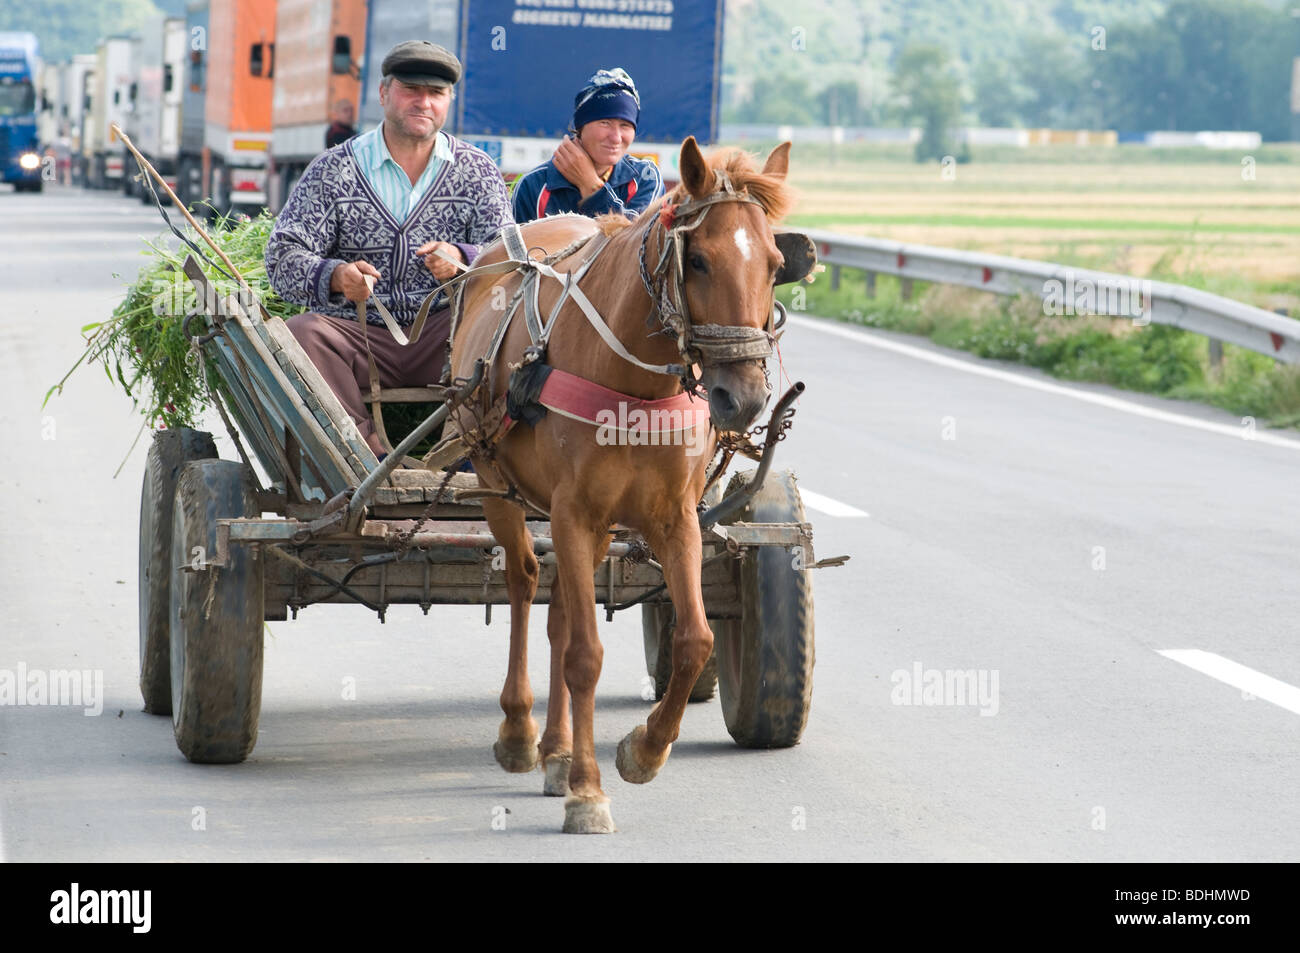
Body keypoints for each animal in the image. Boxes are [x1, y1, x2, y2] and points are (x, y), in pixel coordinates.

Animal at [449, 135, 800, 832]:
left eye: (776, 263)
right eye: (699, 260)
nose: (745, 398)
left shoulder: (675, 517)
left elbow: (695, 640)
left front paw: (642, 750)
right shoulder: (572, 513)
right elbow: (585, 655)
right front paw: (588, 792)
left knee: (561, 610)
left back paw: (558, 750)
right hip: (497, 480)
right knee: (525, 584)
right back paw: (522, 732)